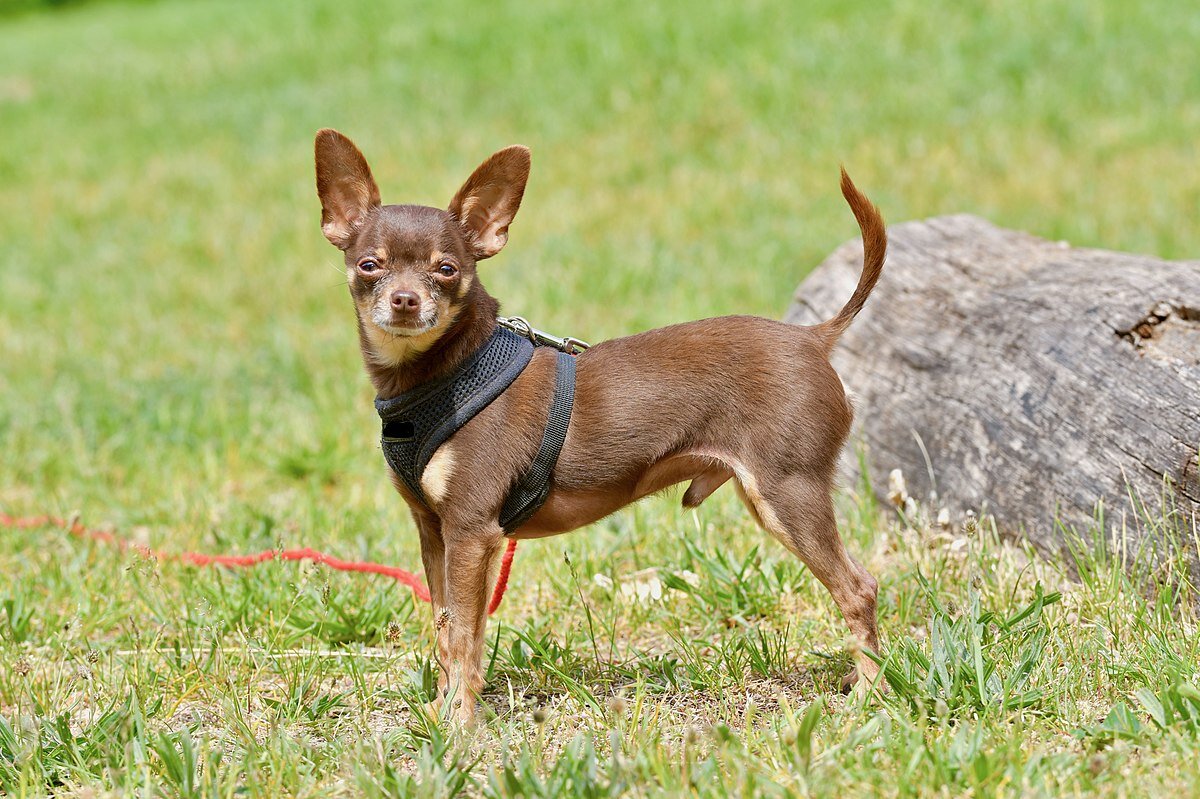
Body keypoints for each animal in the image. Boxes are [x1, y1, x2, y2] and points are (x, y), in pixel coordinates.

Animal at [314, 127, 888, 719]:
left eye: (446, 270)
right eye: (370, 266)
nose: (405, 300)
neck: (440, 373)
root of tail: (813, 336)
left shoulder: (472, 532)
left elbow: (467, 639)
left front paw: (460, 723)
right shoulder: (434, 530)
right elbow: (447, 629)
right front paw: (440, 710)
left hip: (788, 494)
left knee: (859, 588)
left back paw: (869, 690)